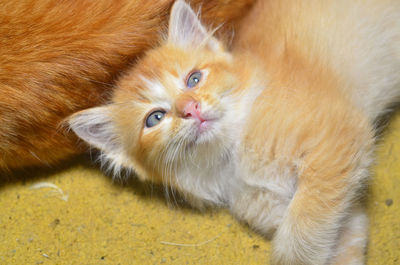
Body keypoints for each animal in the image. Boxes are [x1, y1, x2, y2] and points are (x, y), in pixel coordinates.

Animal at [69, 1, 400, 262]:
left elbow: (300, 233)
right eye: (155, 118)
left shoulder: (337, 139)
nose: (191, 108)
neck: (233, 154)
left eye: (193, 79)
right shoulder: (312, 206)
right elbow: (341, 235)